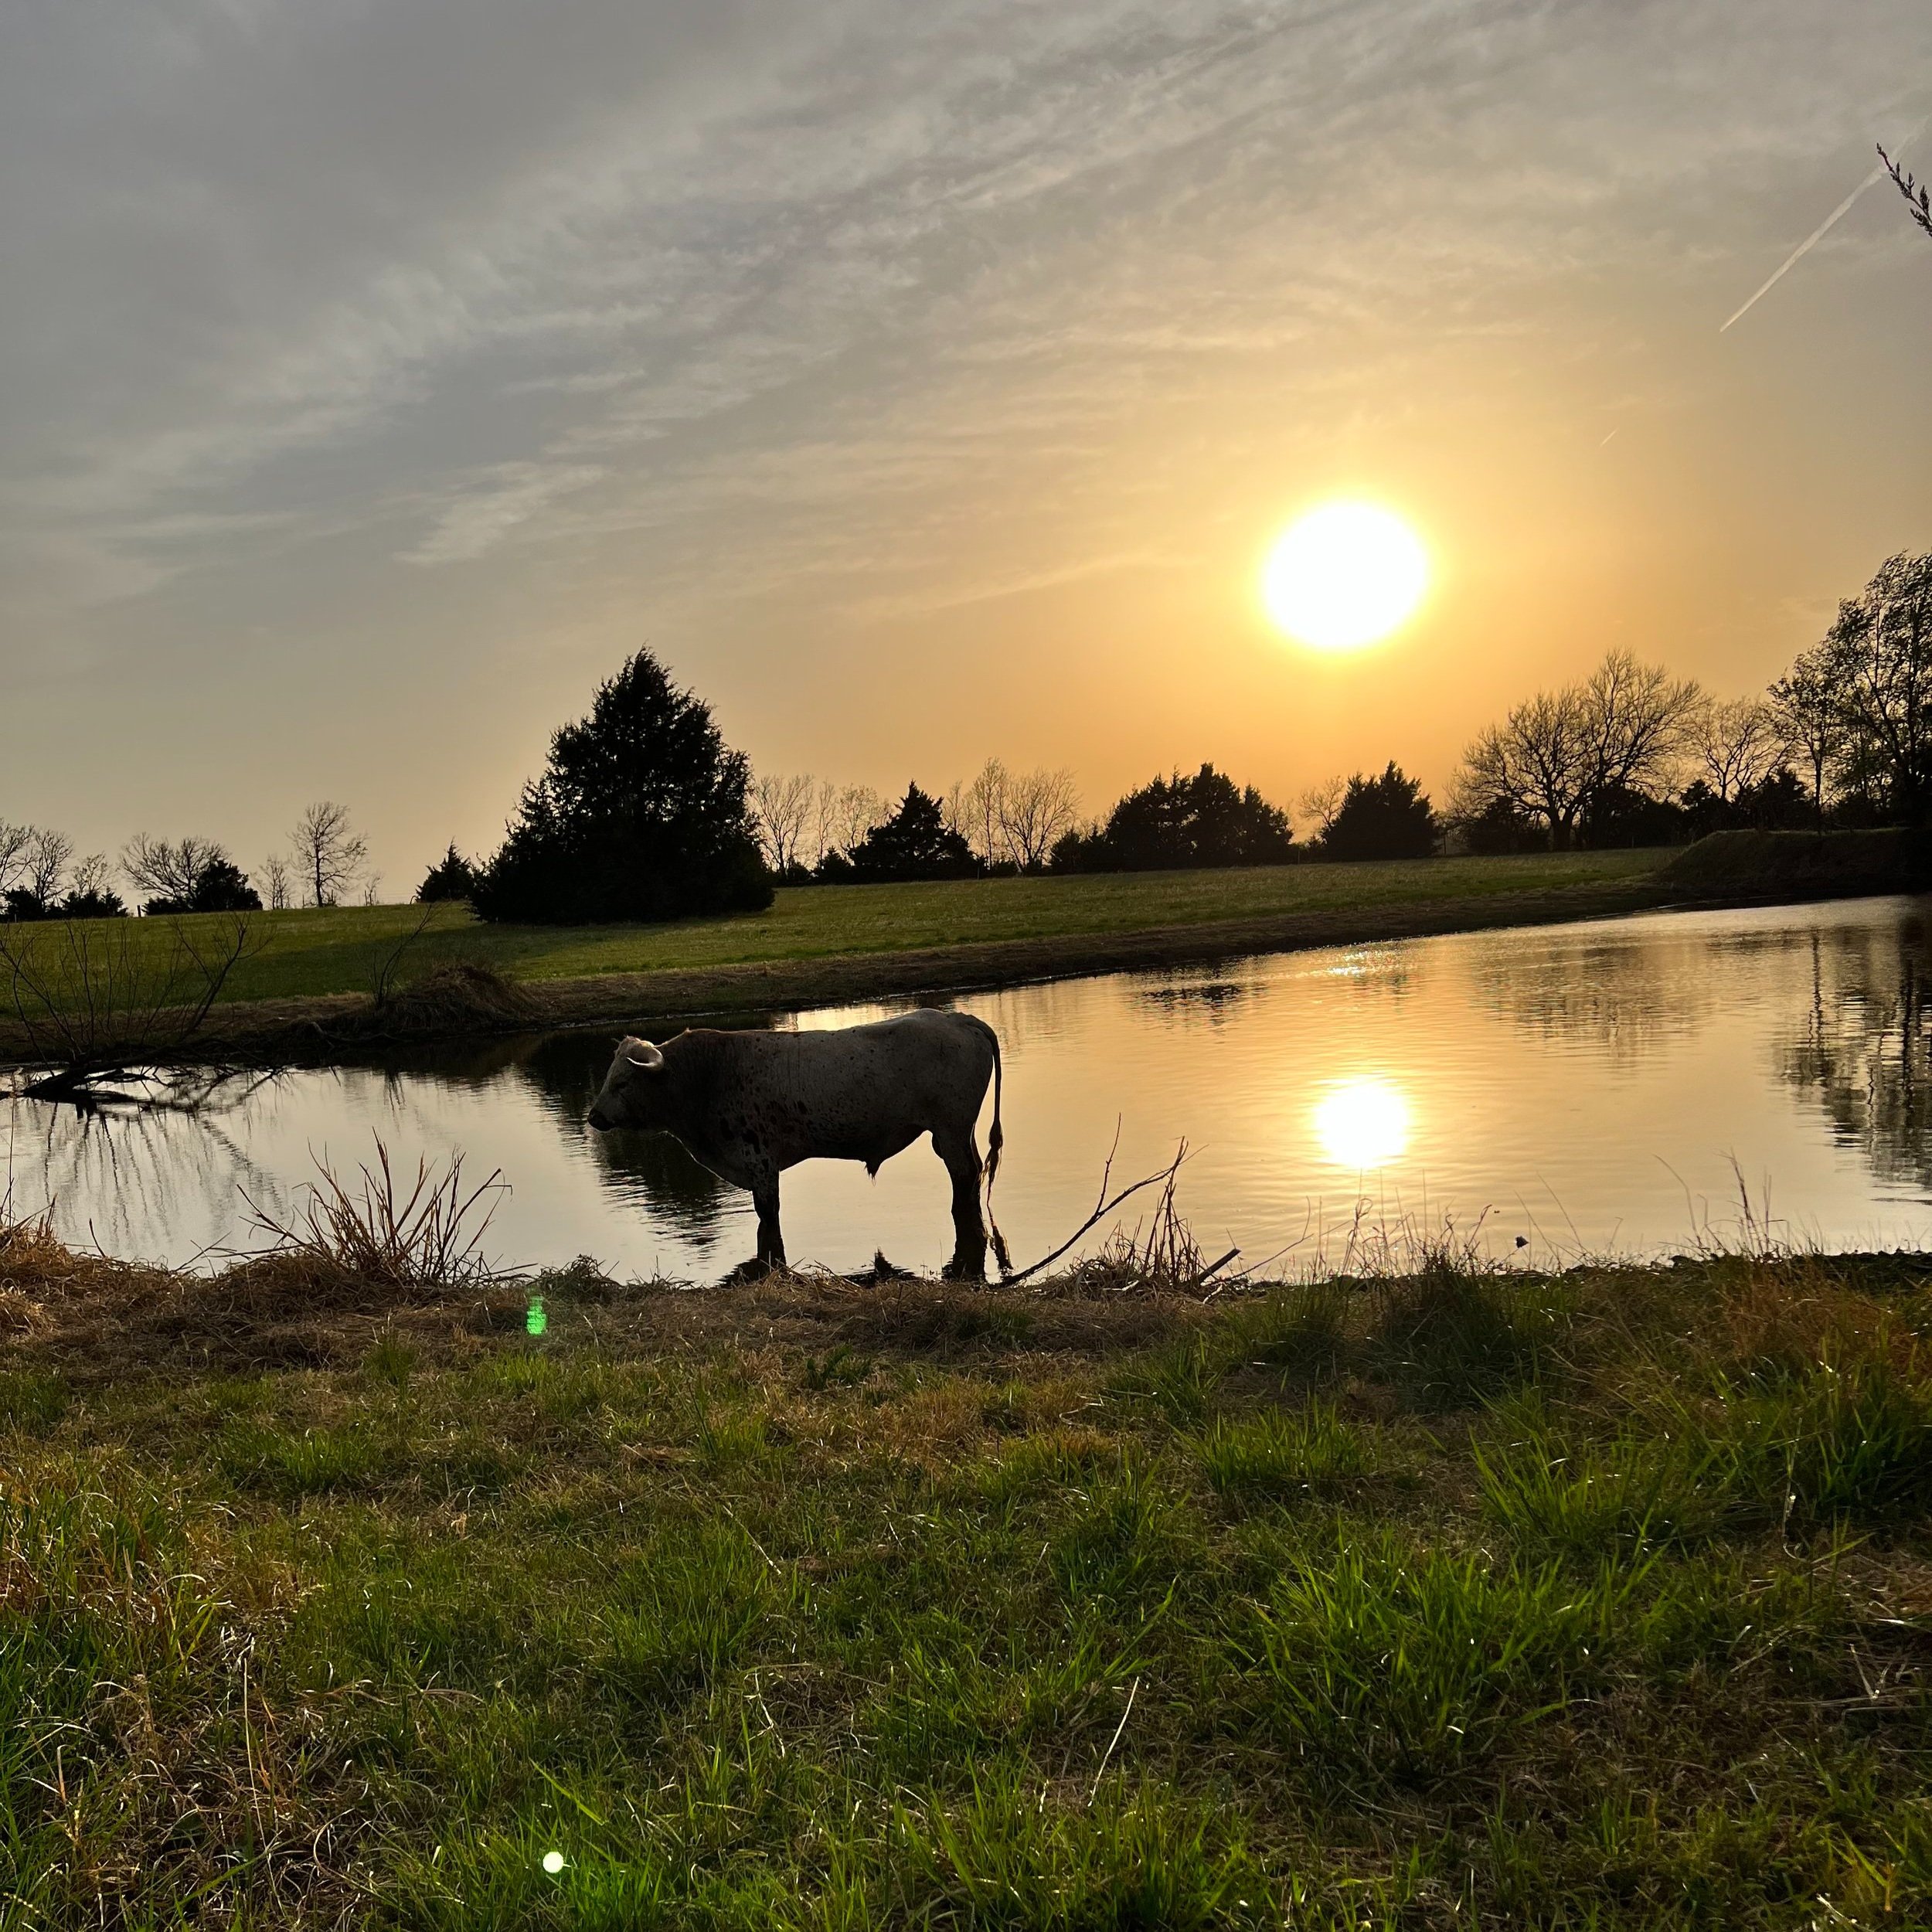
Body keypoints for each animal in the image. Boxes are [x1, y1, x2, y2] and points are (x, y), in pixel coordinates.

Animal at [585, 1009, 1008, 1278]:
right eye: (609, 1076)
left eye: (623, 1082)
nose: (594, 1117)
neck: (706, 1076)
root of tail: (959, 1019)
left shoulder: (760, 1164)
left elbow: (768, 1221)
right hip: (957, 1132)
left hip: (950, 1131)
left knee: (964, 1177)